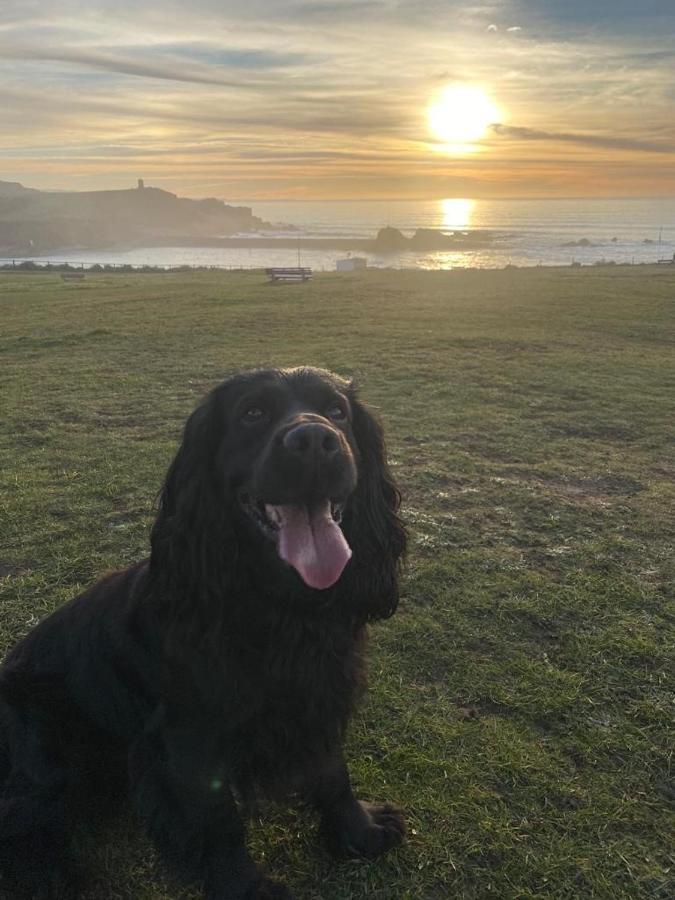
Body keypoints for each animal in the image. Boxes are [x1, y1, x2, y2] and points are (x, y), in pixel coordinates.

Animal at [0, 368, 406, 900]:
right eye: (253, 413)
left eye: (337, 411)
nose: (316, 441)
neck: (280, 607)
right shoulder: (187, 735)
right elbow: (217, 821)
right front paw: (248, 888)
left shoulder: (319, 697)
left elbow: (332, 771)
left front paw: (359, 830)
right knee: (26, 823)